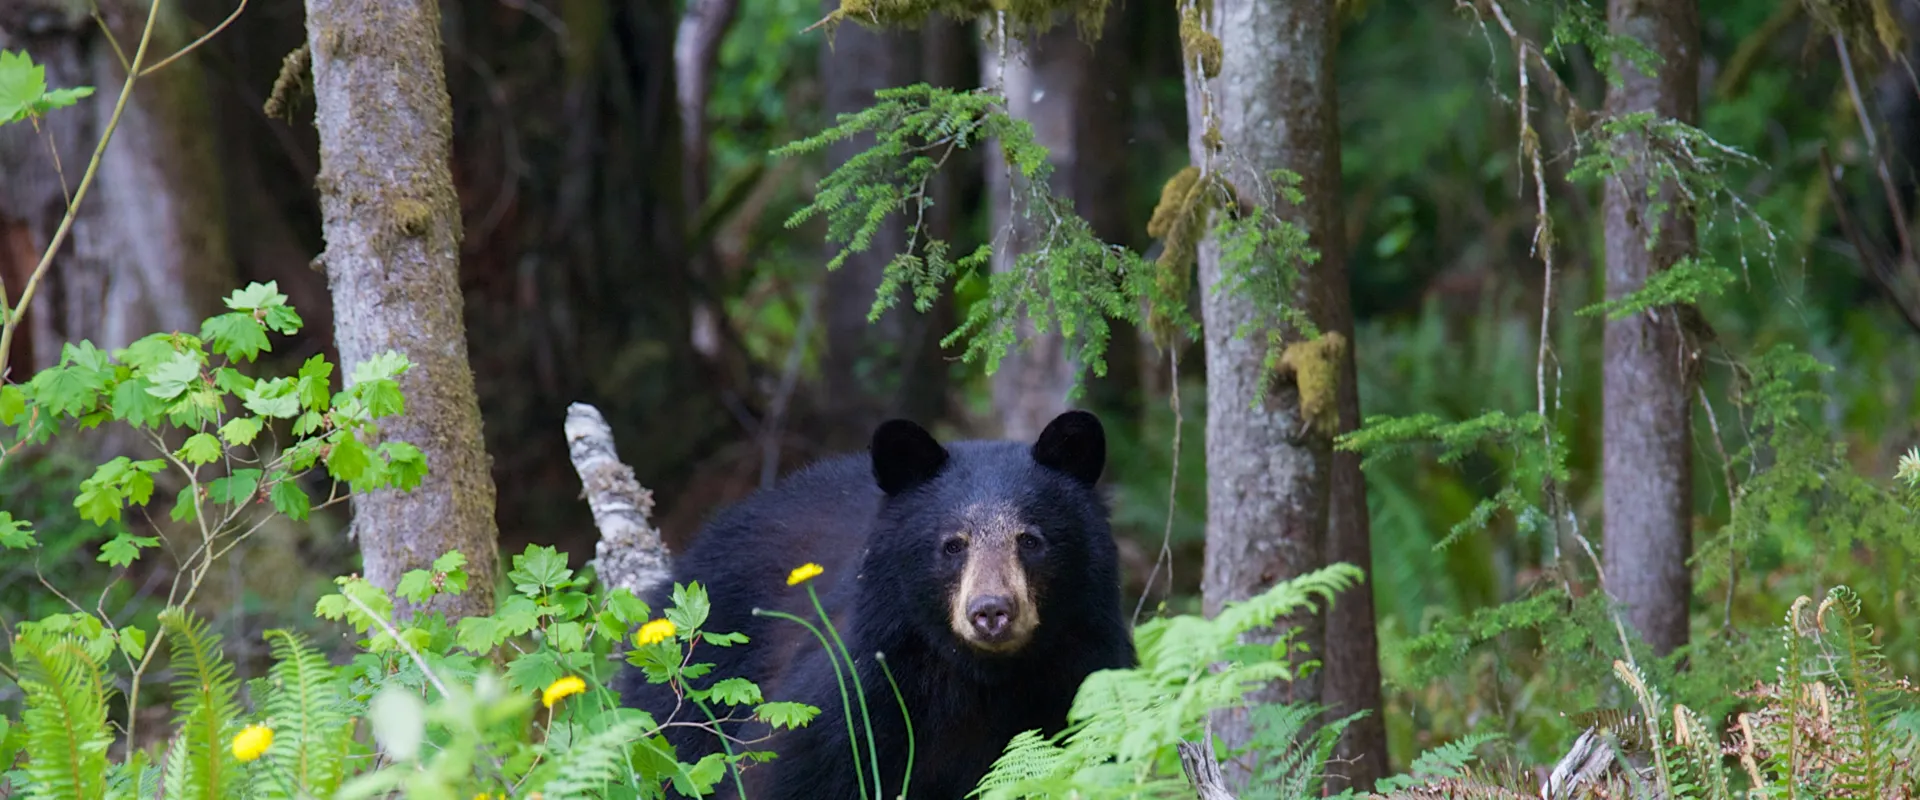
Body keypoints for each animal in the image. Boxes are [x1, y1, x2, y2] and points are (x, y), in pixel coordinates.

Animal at [614, 410, 1128, 798]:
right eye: (952, 545)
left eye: (1030, 540)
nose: (991, 611)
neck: (983, 679)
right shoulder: (863, 691)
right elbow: (778, 773)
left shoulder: (1083, 672)